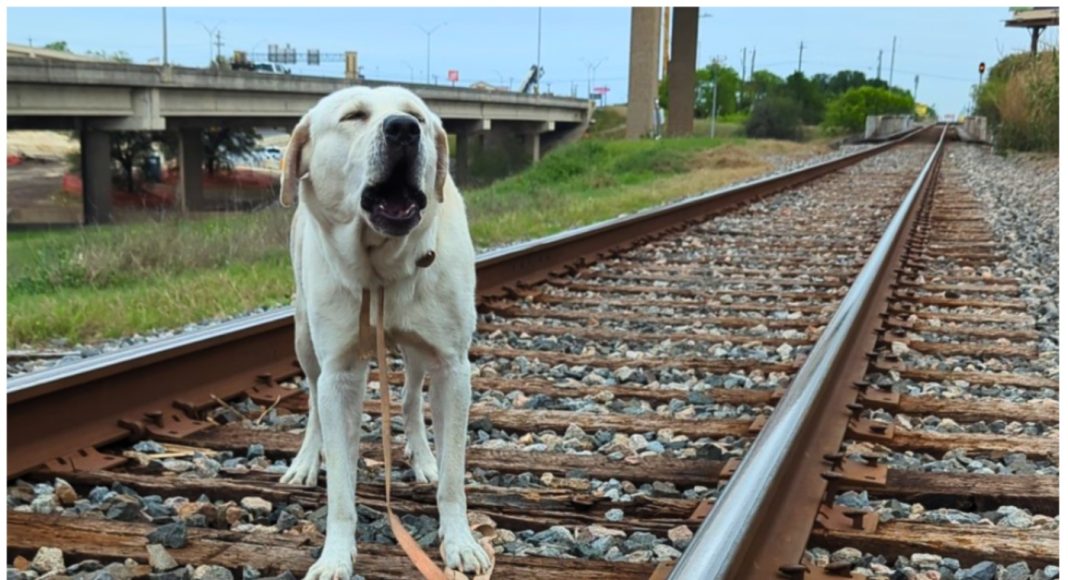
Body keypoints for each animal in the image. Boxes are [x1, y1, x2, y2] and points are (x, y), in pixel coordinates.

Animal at [277, 87, 489, 580]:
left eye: (416, 116)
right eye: (353, 116)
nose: (403, 130)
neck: (381, 269)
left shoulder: (452, 367)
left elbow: (454, 475)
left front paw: (460, 542)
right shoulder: (339, 374)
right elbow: (340, 486)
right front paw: (335, 556)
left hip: (418, 353)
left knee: (410, 399)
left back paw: (424, 458)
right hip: (304, 339)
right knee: (313, 401)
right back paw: (304, 462)